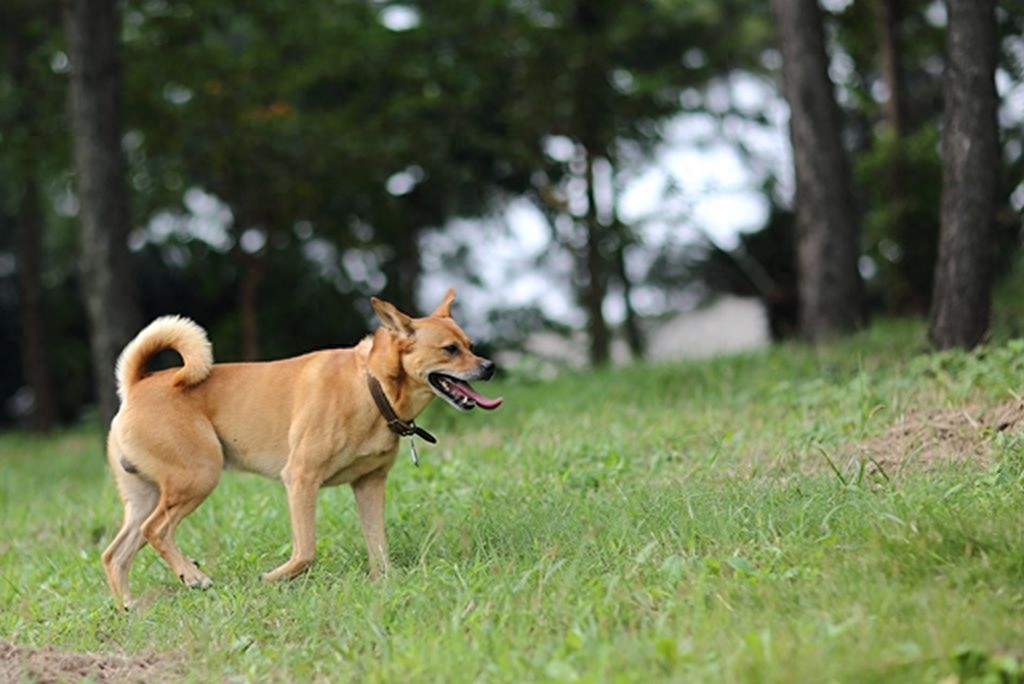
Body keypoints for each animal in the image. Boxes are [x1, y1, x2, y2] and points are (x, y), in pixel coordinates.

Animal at [101, 288, 501, 610]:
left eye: (470, 345)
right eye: (450, 350)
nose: (490, 367)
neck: (370, 385)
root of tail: (136, 385)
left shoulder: (369, 485)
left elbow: (379, 545)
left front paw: (384, 583)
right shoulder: (301, 479)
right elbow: (306, 552)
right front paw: (272, 578)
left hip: (147, 497)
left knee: (114, 554)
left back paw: (129, 607)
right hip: (198, 477)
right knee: (156, 531)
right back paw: (192, 576)